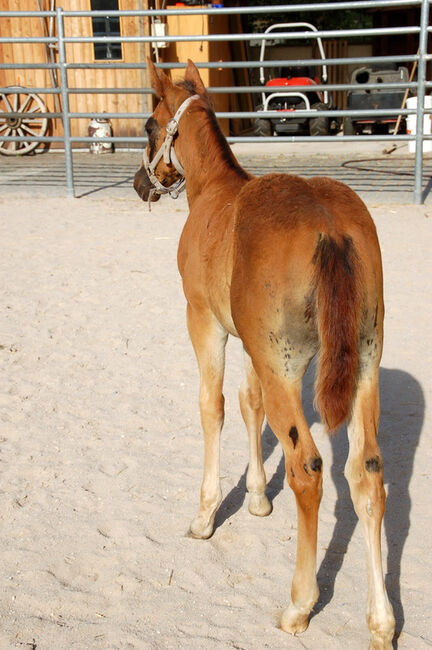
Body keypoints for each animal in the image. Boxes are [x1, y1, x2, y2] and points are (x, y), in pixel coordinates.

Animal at [134, 59, 394, 644]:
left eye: (149, 125)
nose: (141, 184)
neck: (215, 193)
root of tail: (331, 229)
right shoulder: (253, 345)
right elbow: (249, 404)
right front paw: (255, 498)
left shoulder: (204, 321)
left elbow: (213, 408)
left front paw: (206, 515)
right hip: (363, 365)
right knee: (366, 474)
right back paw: (382, 622)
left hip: (286, 369)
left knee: (308, 468)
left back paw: (299, 604)